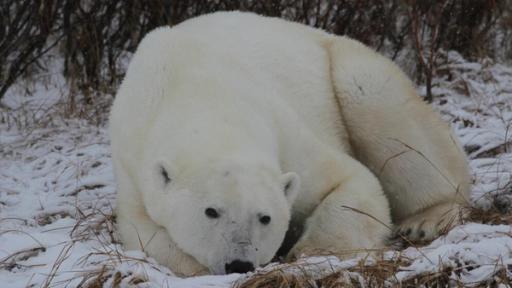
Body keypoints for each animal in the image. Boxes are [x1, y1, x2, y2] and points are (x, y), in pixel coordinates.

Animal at [110, 11, 470, 276]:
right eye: (211, 211)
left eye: (265, 217)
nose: (239, 263)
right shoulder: (133, 161)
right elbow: (144, 233)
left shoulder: (284, 131)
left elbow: (351, 182)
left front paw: (309, 254)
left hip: (345, 69)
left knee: (383, 112)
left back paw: (425, 221)